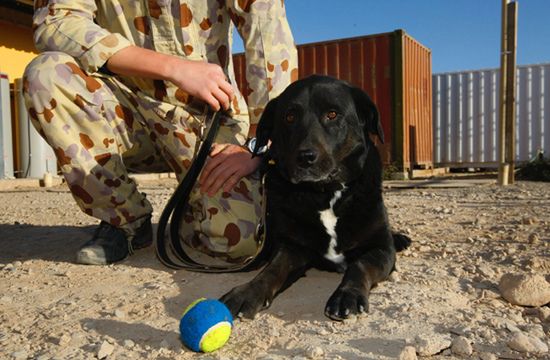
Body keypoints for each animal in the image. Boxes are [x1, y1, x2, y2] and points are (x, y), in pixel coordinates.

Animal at [222, 75, 412, 320]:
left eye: (332, 114)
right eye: (290, 117)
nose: (305, 157)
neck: (326, 194)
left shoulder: (381, 249)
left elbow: (359, 265)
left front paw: (347, 294)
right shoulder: (292, 247)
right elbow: (272, 270)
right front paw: (248, 292)